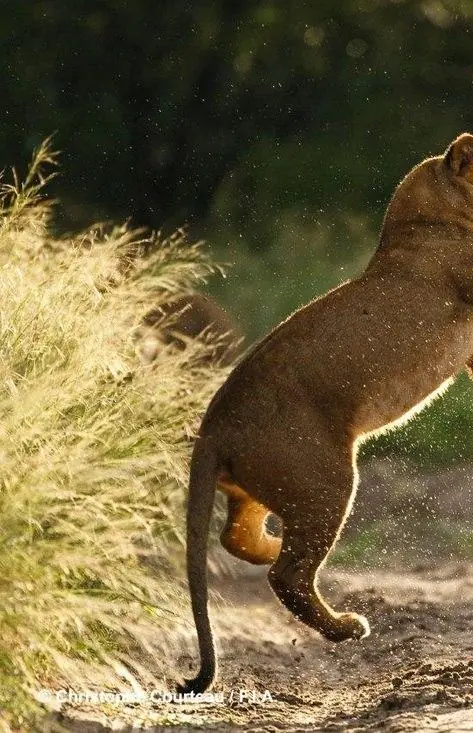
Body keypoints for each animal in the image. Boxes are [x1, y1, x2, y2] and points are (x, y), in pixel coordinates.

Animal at [177, 133, 473, 694]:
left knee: (237, 539)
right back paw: (344, 625)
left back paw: (273, 549)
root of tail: (212, 427)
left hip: (263, 488)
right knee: (288, 575)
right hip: (327, 480)